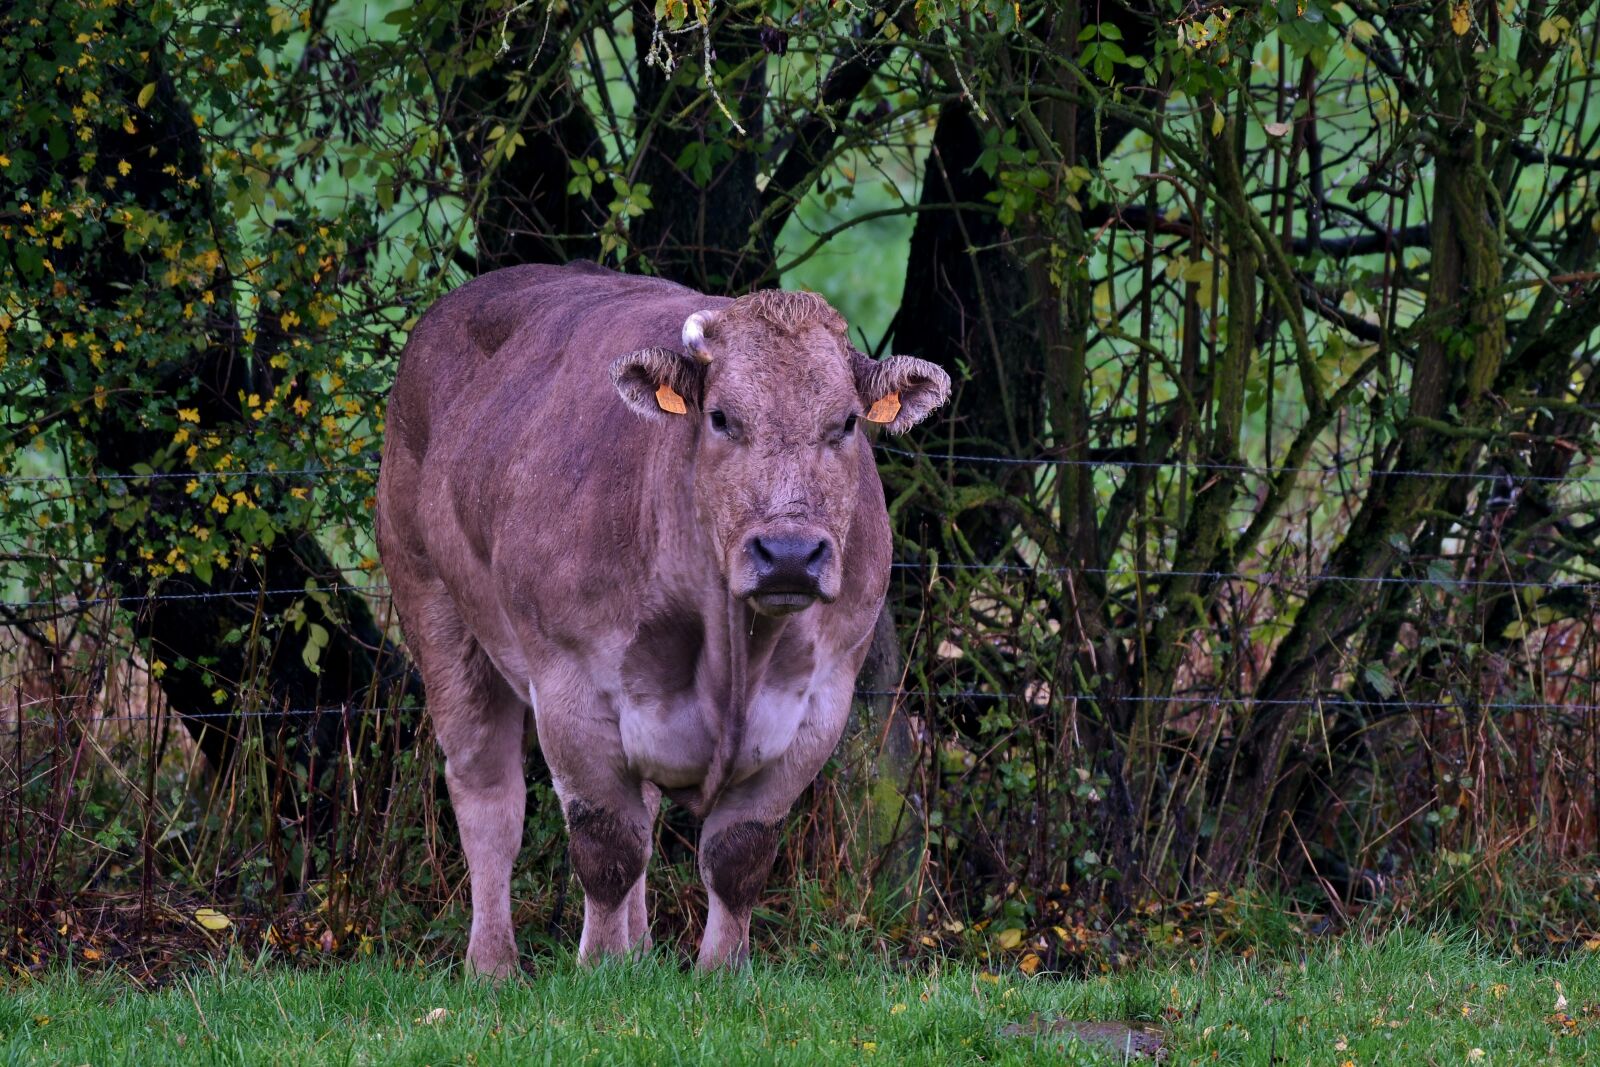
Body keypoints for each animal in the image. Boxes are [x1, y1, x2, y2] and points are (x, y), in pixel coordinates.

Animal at [375, 261, 949, 975]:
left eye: (845, 423)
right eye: (722, 418)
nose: (789, 554)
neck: (730, 649)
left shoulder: (818, 705)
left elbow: (737, 856)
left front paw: (720, 972)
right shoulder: (570, 688)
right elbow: (607, 849)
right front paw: (599, 970)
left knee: (641, 805)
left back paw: (641, 950)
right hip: (432, 601)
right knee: (488, 794)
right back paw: (494, 966)